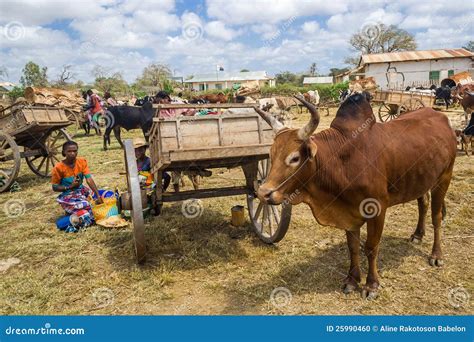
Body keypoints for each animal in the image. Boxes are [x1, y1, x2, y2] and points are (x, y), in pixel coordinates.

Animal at [254, 93, 458, 300]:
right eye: (271, 155)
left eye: (295, 158)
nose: (263, 193)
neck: (341, 162)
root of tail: (440, 117)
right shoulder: (348, 212)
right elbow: (352, 247)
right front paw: (352, 280)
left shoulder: (377, 210)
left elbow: (371, 247)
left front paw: (371, 285)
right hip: (422, 179)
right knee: (423, 204)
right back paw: (417, 235)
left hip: (445, 177)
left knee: (437, 217)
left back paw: (436, 255)